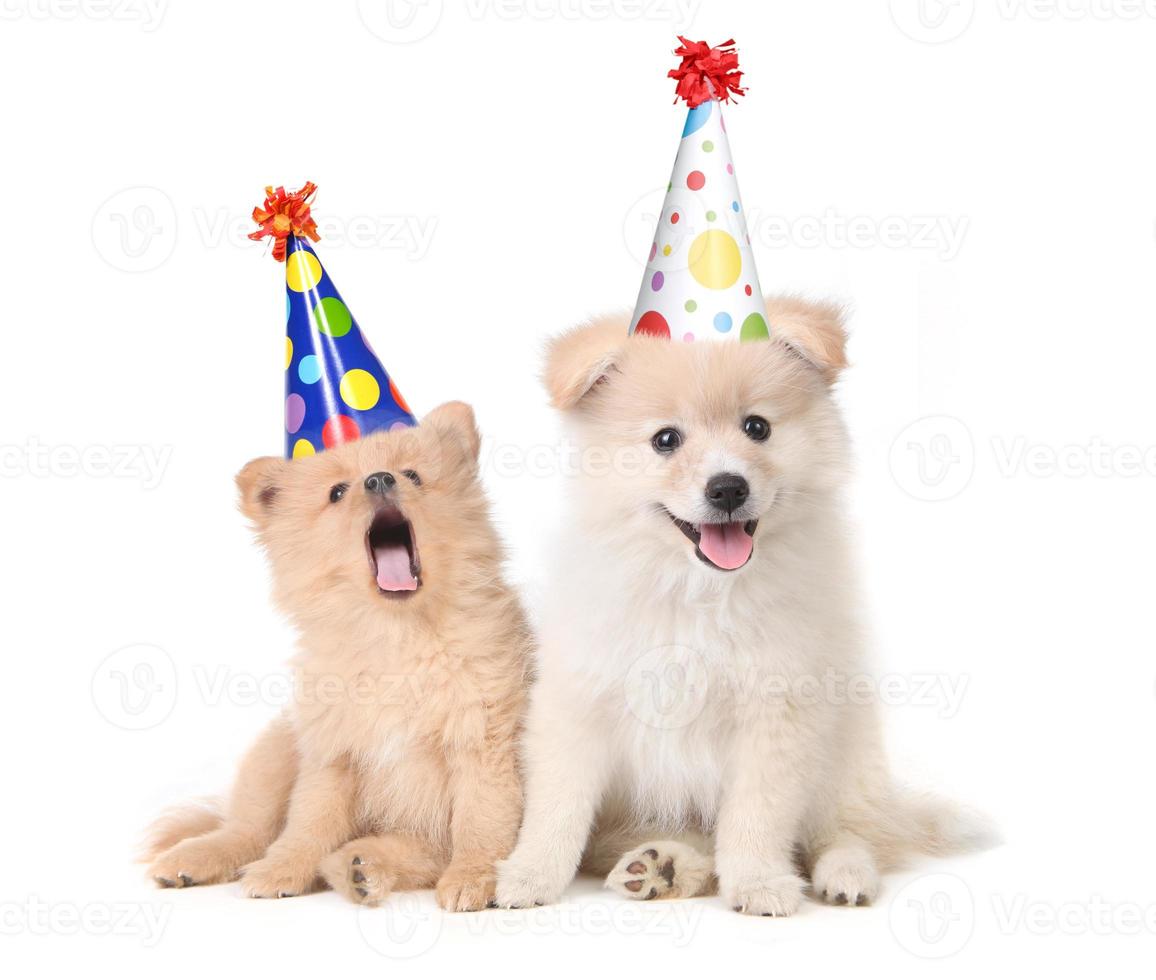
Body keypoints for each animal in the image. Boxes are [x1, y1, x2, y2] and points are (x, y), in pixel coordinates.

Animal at [141, 399, 531, 910]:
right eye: (337, 492)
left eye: (412, 475)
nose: (380, 479)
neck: (397, 637)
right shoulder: (331, 752)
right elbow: (309, 822)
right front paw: (283, 870)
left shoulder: (482, 742)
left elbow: (482, 821)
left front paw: (474, 877)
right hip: (276, 751)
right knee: (248, 827)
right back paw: (194, 859)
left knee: (413, 853)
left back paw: (361, 868)